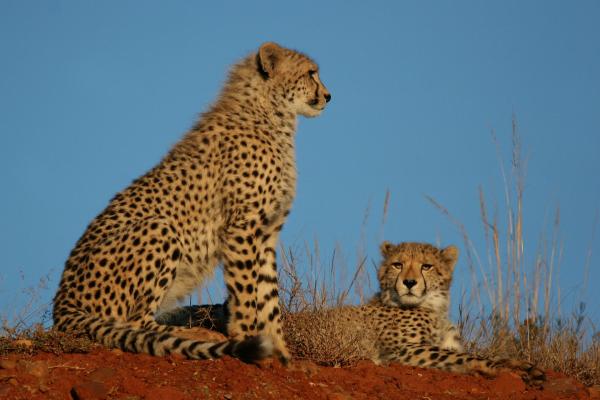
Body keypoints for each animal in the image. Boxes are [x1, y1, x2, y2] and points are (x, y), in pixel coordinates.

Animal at [53, 41, 330, 362]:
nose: (328, 96)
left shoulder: (266, 233)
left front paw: (281, 352)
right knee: (135, 322)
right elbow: (247, 291)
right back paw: (186, 333)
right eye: (311, 73)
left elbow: (269, 296)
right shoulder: (241, 229)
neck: (272, 113)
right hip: (159, 228)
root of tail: (61, 305)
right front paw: (247, 336)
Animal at [342, 241, 544, 384]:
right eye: (397, 265)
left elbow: (480, 354)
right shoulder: (403, 350)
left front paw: (522, 365)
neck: (434, 307)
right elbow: (465, 356)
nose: (409, 282)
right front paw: (503, 368)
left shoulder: (449, 344)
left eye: (426, 266)